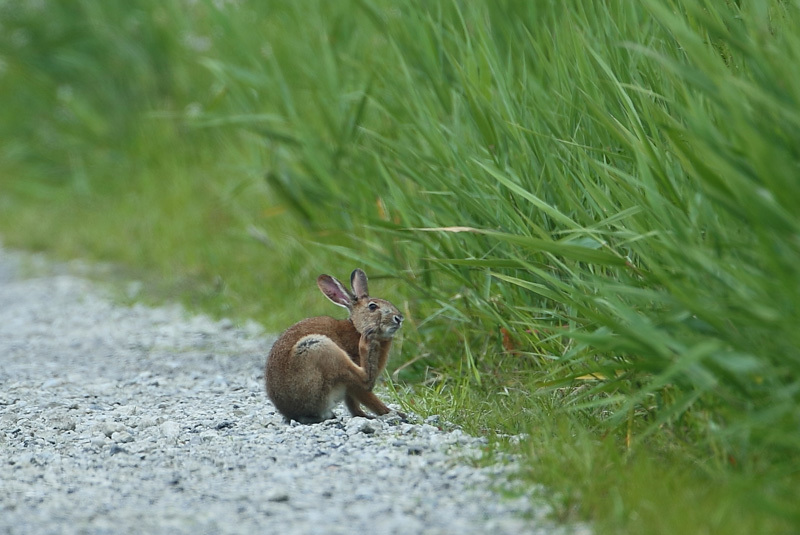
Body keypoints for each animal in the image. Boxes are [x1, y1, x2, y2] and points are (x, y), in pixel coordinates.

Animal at [264, 270, 404, 426]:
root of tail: (296, 413)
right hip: (318, 348)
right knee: (366, 380)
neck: (357, 328)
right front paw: (394, 413)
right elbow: (367, 397)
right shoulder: (354, 386)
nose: (399, 318)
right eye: (373, 307)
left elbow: (353, 405)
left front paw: (365, 416)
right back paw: (366, 343)